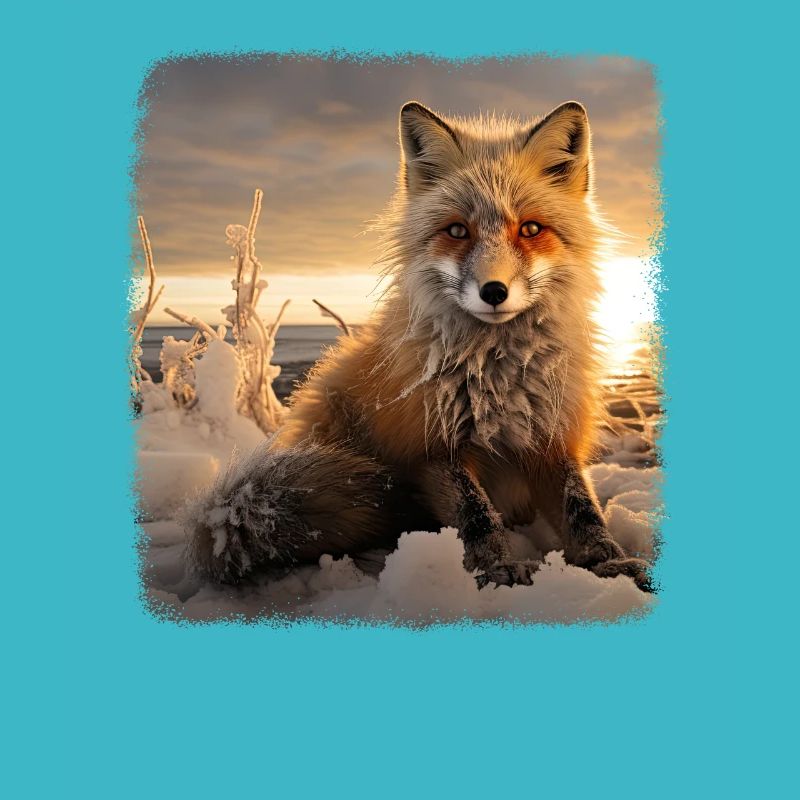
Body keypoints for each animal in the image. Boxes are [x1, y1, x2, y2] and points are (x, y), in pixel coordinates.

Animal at [184, 100, 651, 592]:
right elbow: (476, 515)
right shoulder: (431, 446)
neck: (499, 378)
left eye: (530, 229)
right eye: (458, 231)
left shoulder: (552, 436)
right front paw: (496, 570)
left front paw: (610, 563)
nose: (494, 291)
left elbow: (582, 511)